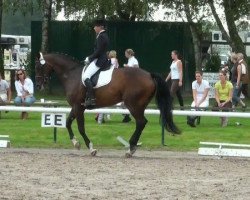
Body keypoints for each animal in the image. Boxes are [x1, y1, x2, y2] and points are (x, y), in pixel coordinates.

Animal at [34, 54, 180, 157]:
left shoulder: (78, 107)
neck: (71, 74)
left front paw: (91, 148)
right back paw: (131, 148)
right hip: (139, 106)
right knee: (141, 123)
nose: (38, 85)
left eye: (39, 67)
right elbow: (68, 123)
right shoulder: (76, 106)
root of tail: (149, 75)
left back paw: (130, 149)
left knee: (141, 122)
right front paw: (76, 143)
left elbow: (81, 128)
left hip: (133, 105)